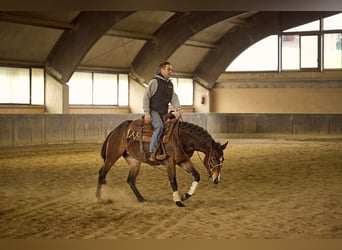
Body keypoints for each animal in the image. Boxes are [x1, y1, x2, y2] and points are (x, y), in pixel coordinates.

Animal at [95, 117, 228, 207]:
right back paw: (99, 198)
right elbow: (173, 181)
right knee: (102, 174)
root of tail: (115, 130)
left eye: (222, 159)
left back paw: (142, 199)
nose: (217, 179)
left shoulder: (184, 161)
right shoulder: (170, 163)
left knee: (130, 181)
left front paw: (185, 195)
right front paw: (178, 201)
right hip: (112, 156)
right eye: (213, 158)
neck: (181, 138)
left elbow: (196, 176)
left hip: (134, 161)